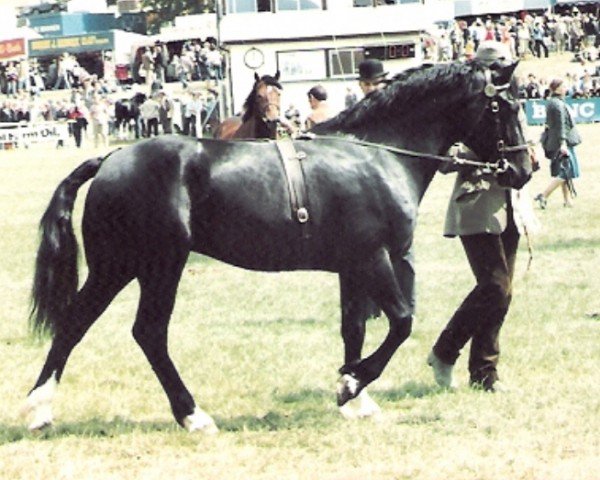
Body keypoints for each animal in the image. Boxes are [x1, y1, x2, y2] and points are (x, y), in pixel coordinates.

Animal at [22, 59, 528, 432]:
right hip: (153, 265)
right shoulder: (374, 258)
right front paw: (351, 386)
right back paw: (189, 415)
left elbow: (354, 329)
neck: (376, 153)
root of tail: (111, 159)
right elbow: (401, 323)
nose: (523, 170)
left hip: (123, 267)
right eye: (505, 107)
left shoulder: (352, 267)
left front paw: (355, 398)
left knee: (81, 324)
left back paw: (43, 408)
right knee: (142, 332)